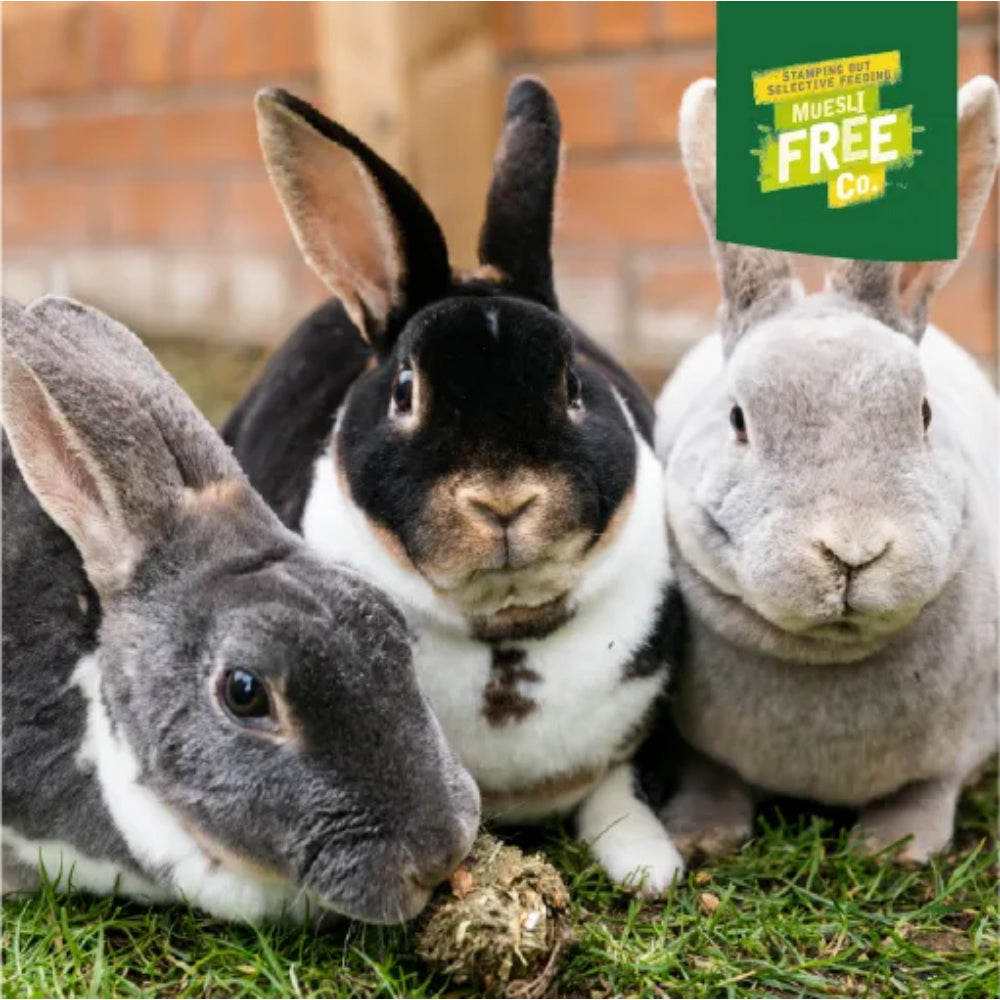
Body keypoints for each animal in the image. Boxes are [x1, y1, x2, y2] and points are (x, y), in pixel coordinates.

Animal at [221, 78, 686, 896]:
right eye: (406, 389)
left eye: (572, 383)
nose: (502, 501)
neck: (506, 636)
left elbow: (620, 788)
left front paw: (649, 868)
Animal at [653, 76, 1000, 863]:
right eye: (739, 420)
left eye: (923, 413)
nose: (853, 553)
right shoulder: (700, 746)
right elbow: (711, 775)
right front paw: (699, 836)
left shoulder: (961, 742)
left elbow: (930, 787)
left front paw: (895, 847)